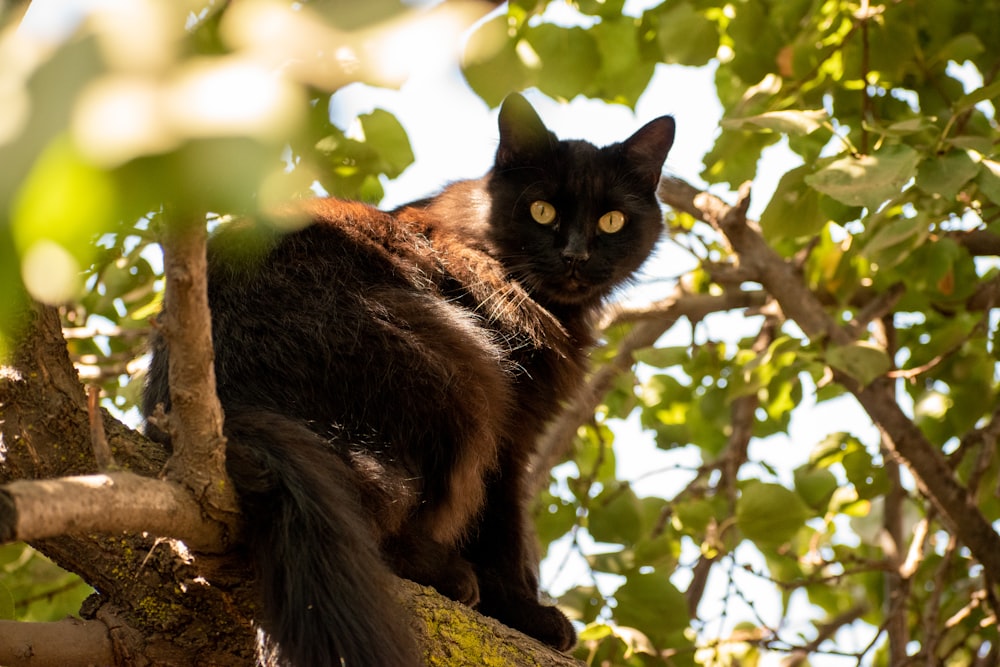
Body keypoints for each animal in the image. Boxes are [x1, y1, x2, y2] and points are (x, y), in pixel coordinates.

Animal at [143, 94, 672, 667]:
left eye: (612, 220)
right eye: (542, 210)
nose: (576, 256)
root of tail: (224, 405)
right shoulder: (510, 432)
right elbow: (503, 531)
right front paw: (526, 614)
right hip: (457, 371)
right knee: (374, 515)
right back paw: (452, 577)